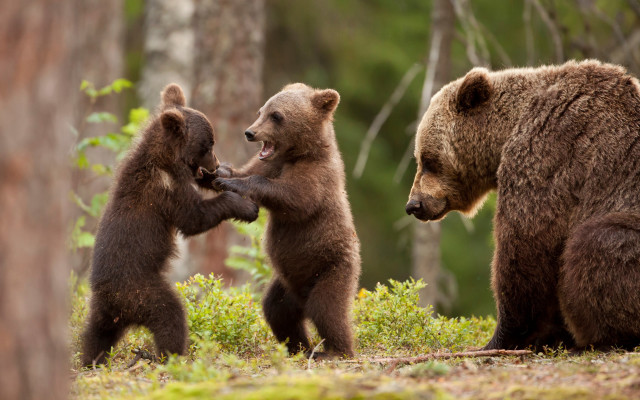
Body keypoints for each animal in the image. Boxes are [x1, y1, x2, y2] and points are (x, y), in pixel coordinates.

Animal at [81, 83, 259, 367]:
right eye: (208, 144)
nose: (216, 163)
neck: (167, 160)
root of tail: (114, 302)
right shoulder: (165, 191)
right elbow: (194, 218)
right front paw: (245, 207)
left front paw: (225, 177)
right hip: (141, 291)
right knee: (170, 315)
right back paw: (170, 355)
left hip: (103, 311)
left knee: (95, 334)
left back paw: (90, 360)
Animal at [213, 83, 361, 358]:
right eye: (261, 110)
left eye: (277, 116)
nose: (250, 132)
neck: (298, 153)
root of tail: (301, 297)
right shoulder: (270, 163)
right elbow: (249, 170)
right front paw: (221, 172)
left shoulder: (317, 176)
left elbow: (295, 198)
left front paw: (234, 183)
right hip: (286, 284)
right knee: (277, 311)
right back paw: (299, 347)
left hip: (332, 268)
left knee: (327, 309)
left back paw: (336, 351)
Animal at [406, 59, 640, 351]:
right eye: (420, 157)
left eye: (427, 160)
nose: (413, 204)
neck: (506, 132)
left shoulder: (549, 153)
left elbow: (526, 244)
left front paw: (501, 338)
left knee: (597, 242)